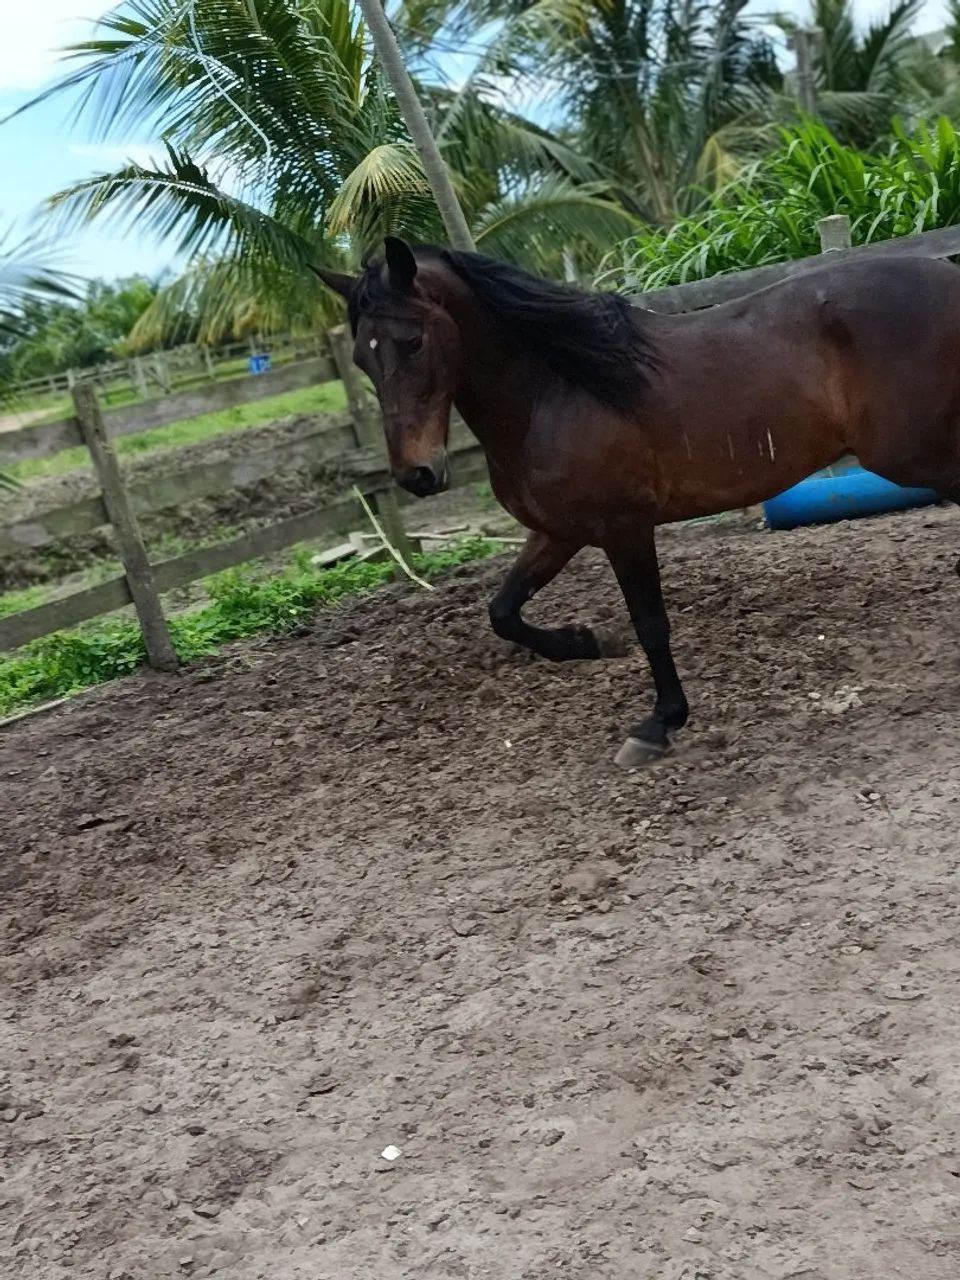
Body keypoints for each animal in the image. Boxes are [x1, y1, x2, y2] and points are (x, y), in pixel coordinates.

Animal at [313, 237, 960, 767]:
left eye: (414, 340)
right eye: (362, 357)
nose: (417, 475)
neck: (557, 390)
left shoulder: (623, 527)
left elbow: (651, 624)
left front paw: (657, 725)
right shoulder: (560, 532)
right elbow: (503, 612)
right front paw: (585, 642)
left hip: (913, 455)